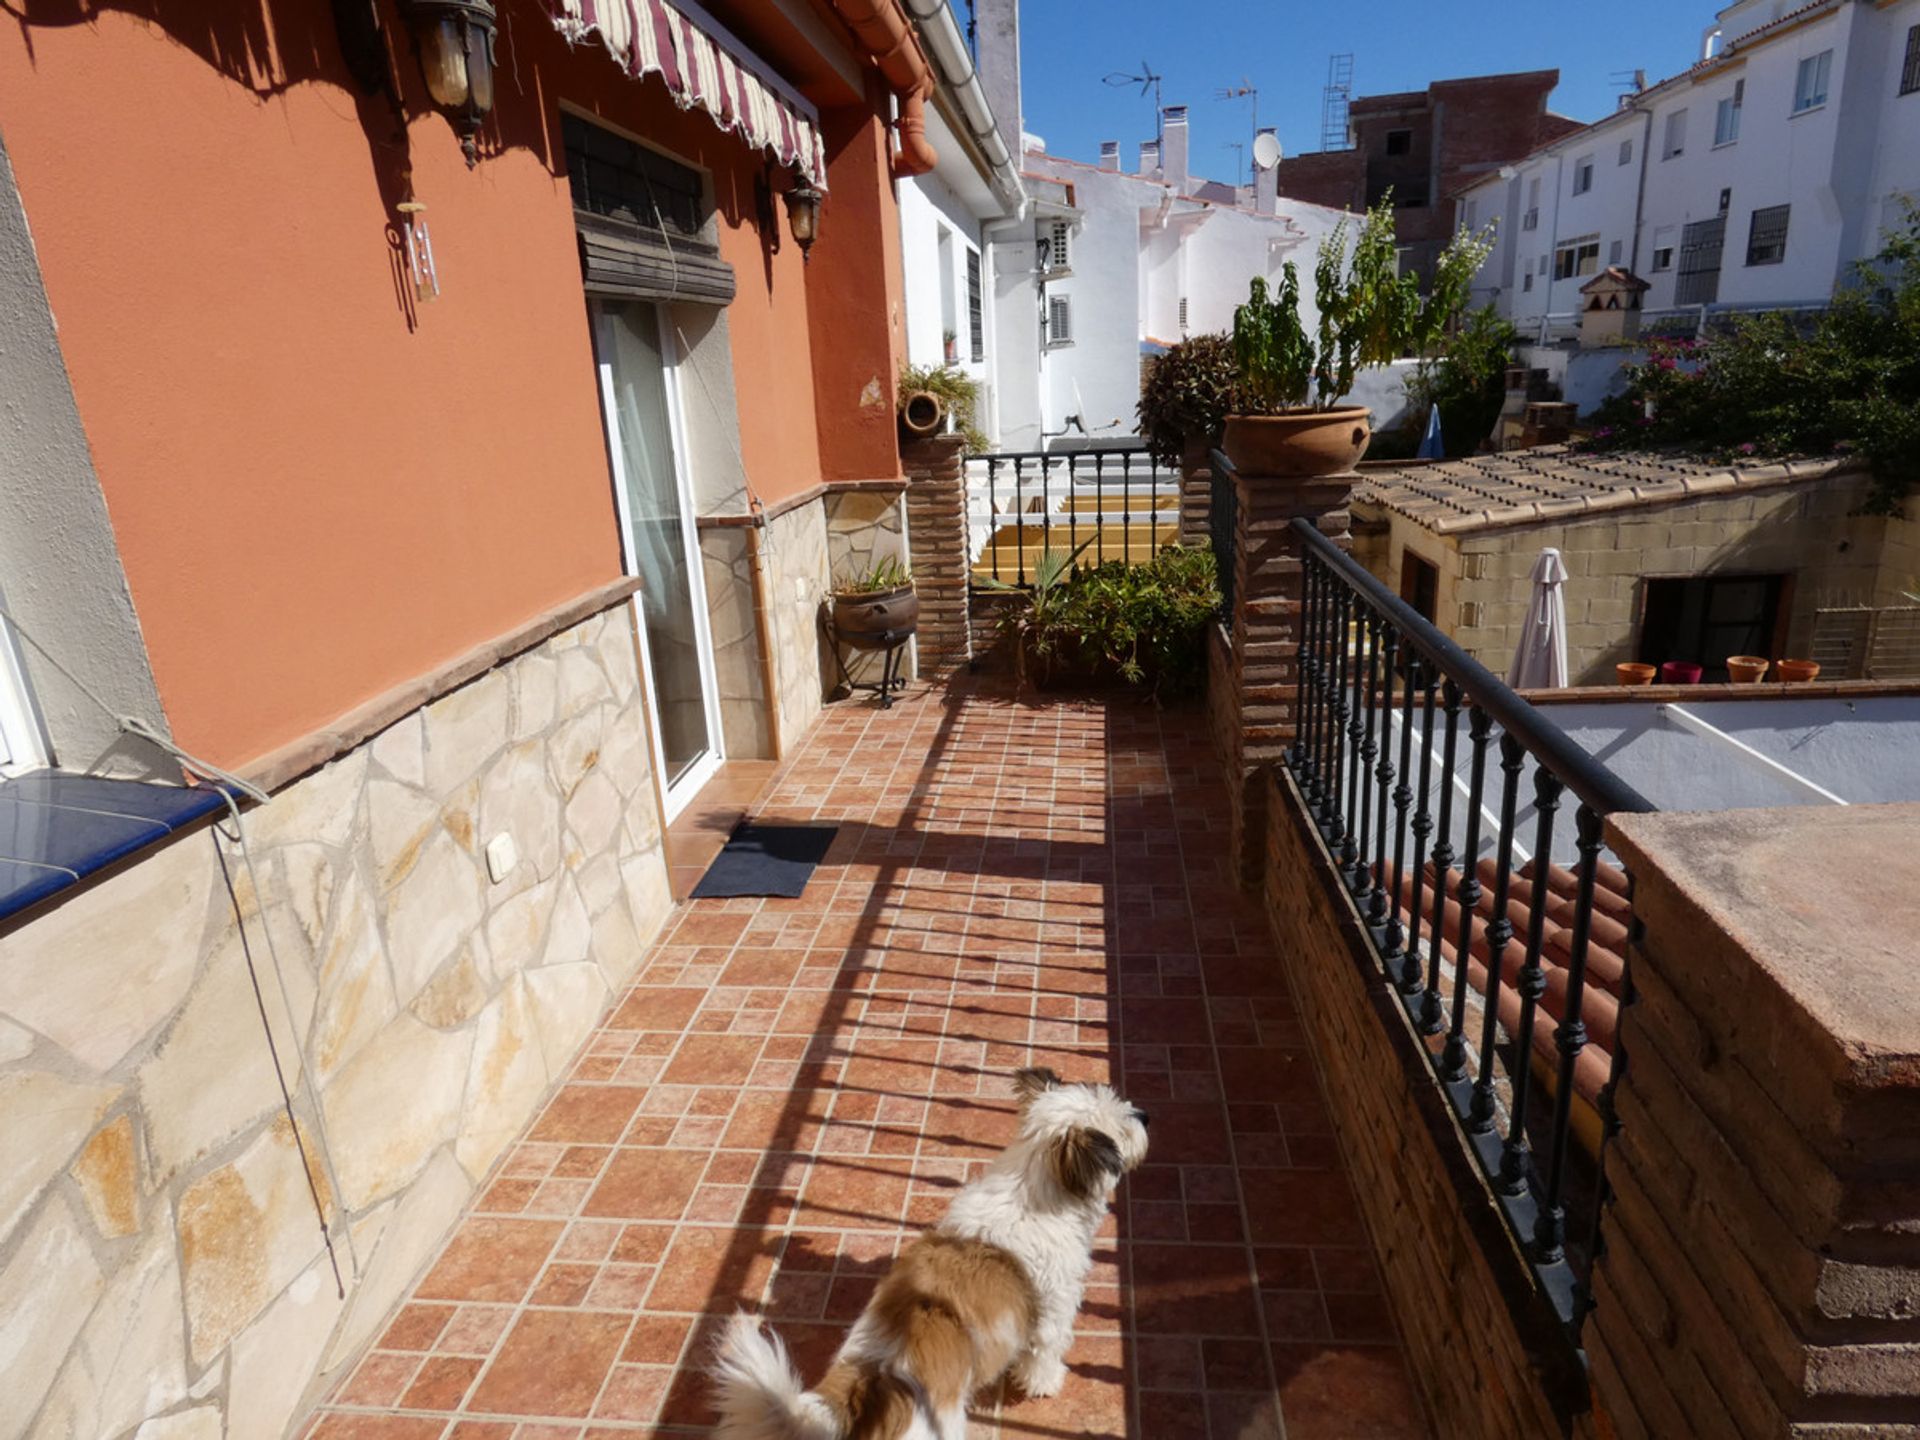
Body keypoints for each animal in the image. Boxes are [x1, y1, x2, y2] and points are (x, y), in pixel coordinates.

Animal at [714, 1067, 1144, 1440]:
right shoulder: (1054, 1307)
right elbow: (1045, 1352)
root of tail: (873, 1382)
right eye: (1123, 1126)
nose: (1145, 1114)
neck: (1029, 1189)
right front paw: (1045, 1382)